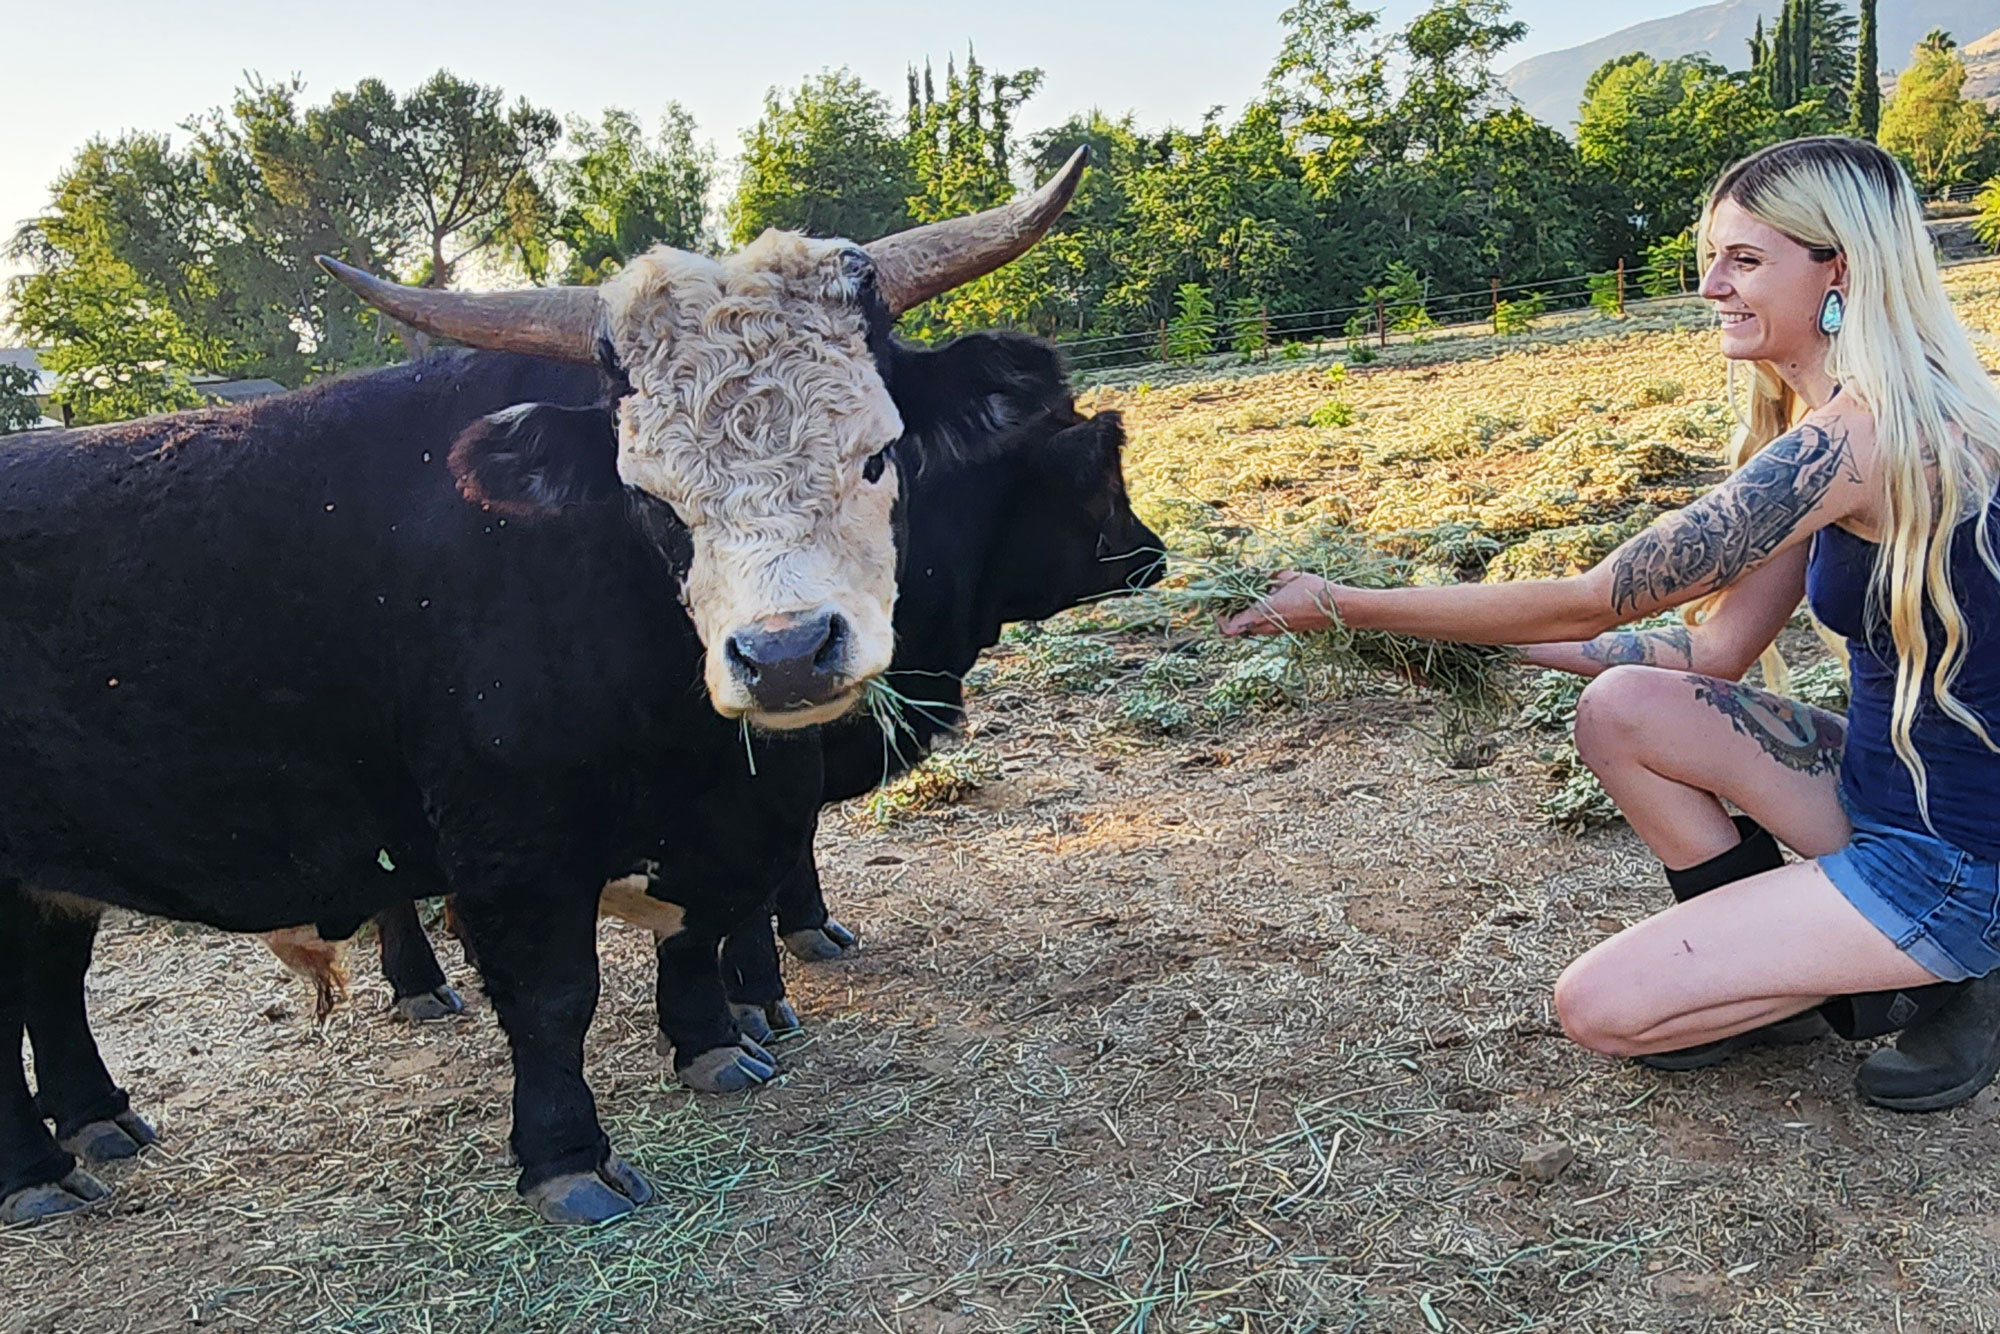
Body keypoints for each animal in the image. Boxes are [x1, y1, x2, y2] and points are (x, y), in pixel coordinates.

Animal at [0, 153, 1085, 1227]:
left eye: (876, 455)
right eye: (651, 494)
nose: (784, 653)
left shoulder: (717, 822)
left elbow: (696, 934)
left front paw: (713, 1046)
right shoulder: (508, 843)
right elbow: (553, 993)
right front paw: (568, 1156)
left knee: (47, 984)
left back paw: (96, 1120)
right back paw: (34, 1173)